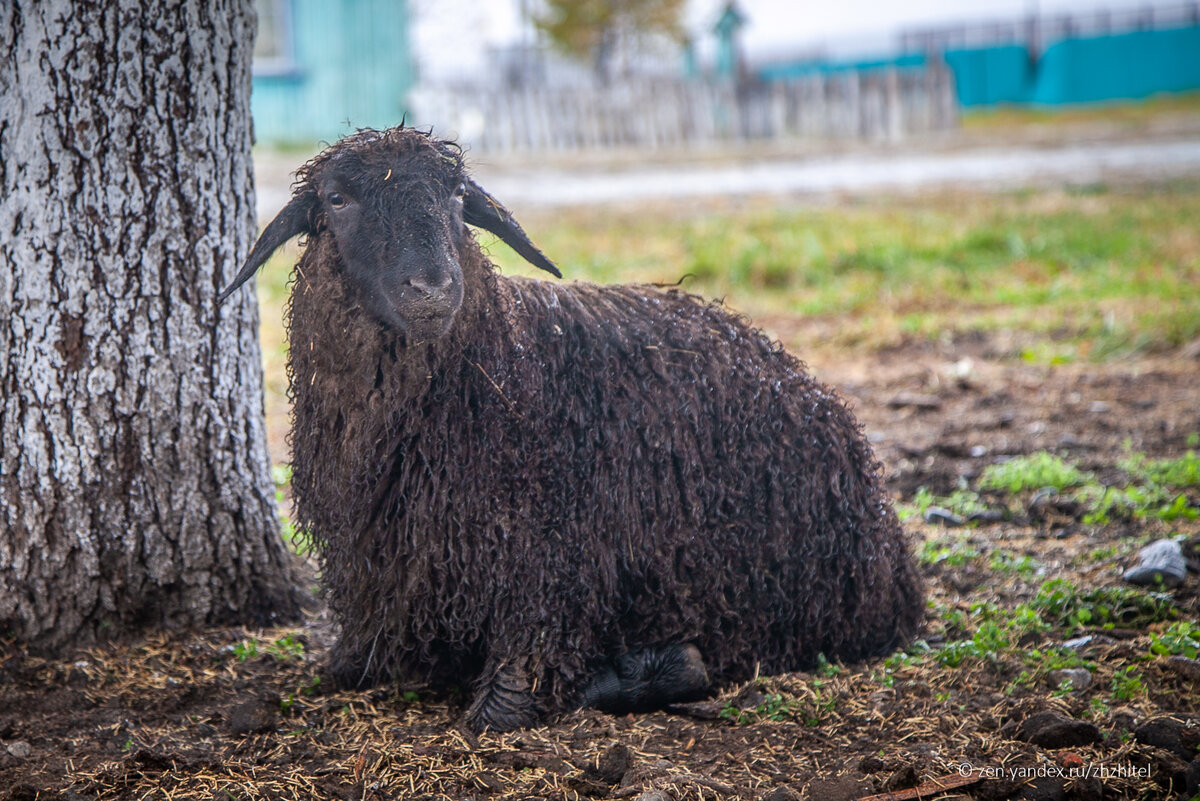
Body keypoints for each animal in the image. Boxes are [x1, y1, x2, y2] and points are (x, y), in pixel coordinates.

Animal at [220, 125, 921, 733]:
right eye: (337, 200)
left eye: (455, 196)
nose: (432, 289)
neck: (501, 376)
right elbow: (357, 666)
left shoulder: (551, 574)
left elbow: (502, 705)